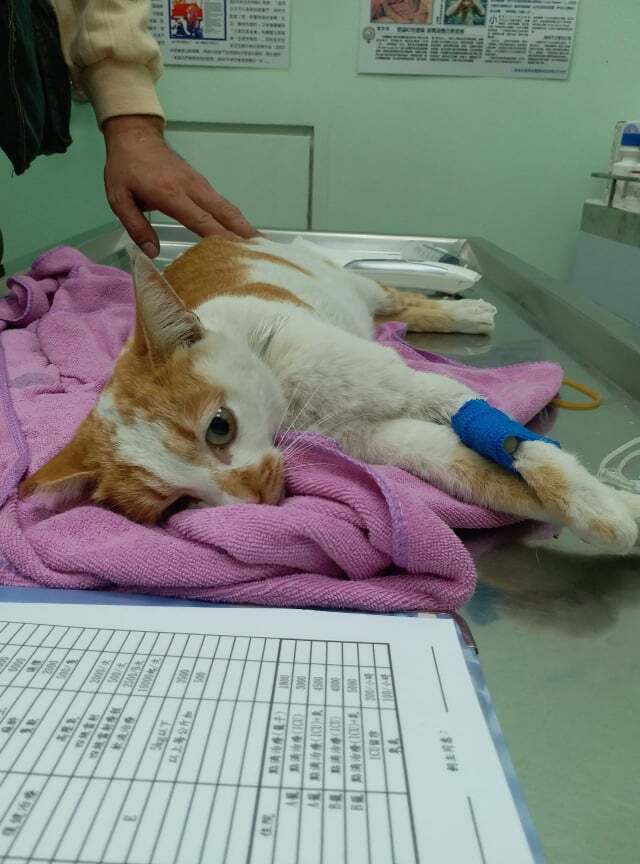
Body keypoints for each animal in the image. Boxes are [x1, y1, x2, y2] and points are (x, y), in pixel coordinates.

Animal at [20, 235, 640, 553]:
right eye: (175, 505)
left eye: (220, 426)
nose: (256, 498)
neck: (291, 396)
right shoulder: (381, 439)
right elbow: (479, 473)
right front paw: (615, 508)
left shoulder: (418, 385)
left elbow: (520, 446)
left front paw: (600, 506)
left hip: (353, 282)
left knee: (395, 297)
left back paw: (464, 310)